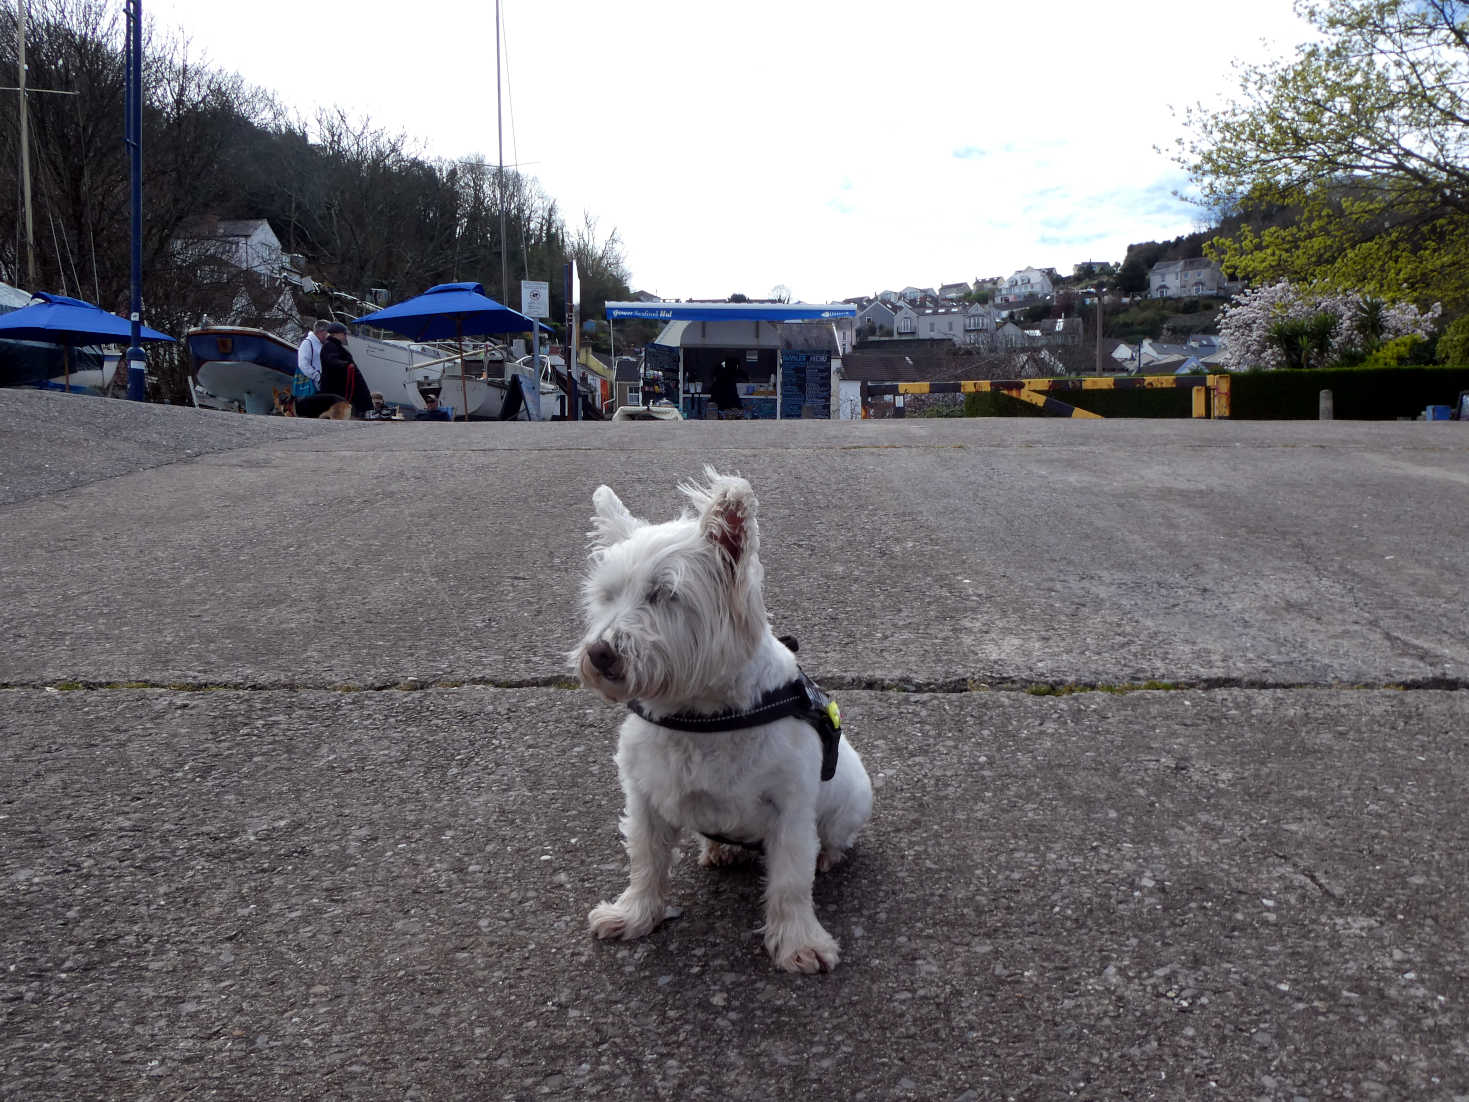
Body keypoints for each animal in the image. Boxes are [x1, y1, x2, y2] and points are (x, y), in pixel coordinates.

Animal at [572, 467, 869, 975]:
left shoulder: (791, 809)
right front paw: (634, 916)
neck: (699, 714)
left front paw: (799, 943)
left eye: (664, 593)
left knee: (832, 839)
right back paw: (720, 848)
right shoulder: (645, 796)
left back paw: (827, 856)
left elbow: (791, 881)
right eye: (606, 595)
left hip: (849, 802)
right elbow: (646, 861)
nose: (599, 653)